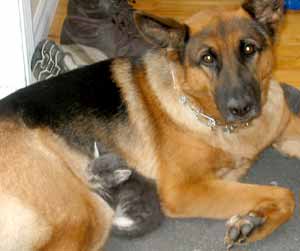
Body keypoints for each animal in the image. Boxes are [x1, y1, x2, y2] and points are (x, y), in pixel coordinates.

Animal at [0, 0, 298, 250]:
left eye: (248, 48)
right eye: (207, 58)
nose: (241, 108)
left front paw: (253, 219)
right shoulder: (184, 191)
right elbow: (285, 193)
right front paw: (255, 221)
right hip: (87, 212)